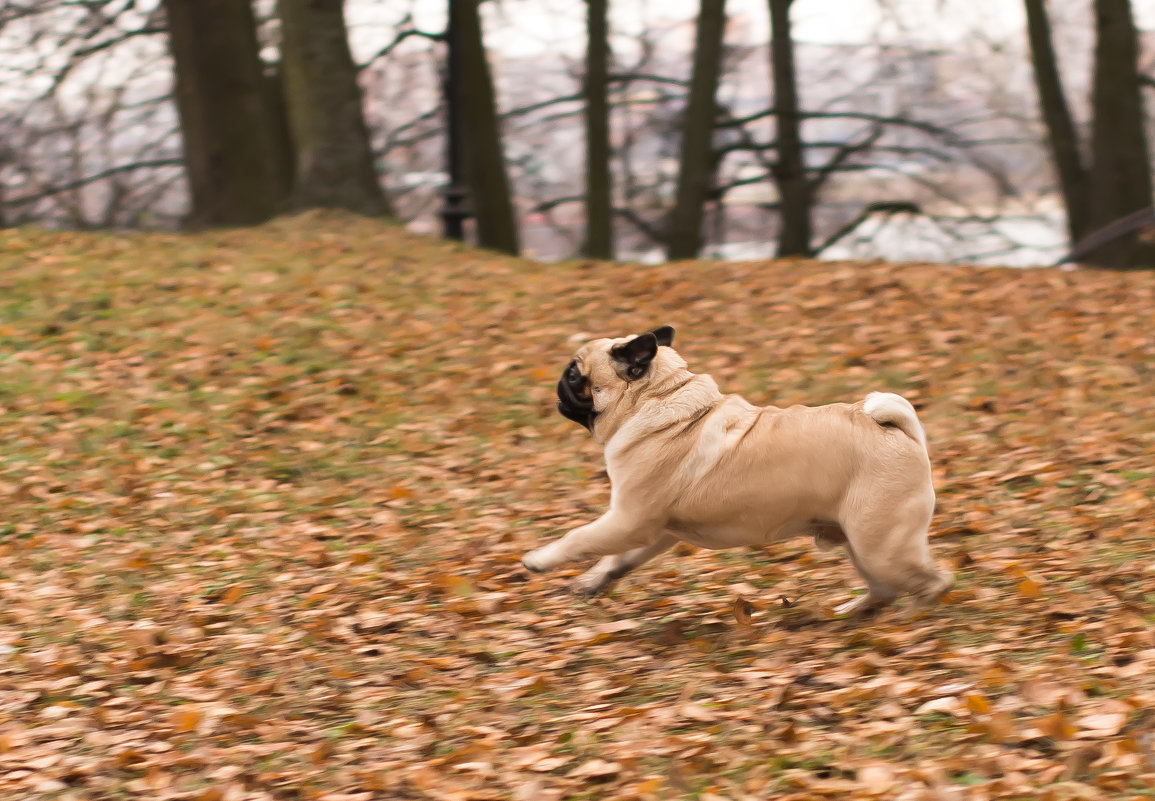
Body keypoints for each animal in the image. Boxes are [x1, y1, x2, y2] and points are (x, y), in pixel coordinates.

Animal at [526, 325, 956, 614]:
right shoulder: (653, 530)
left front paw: (540, 559)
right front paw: (592, 582)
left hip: (881, 545)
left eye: (574, 374)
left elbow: (578, 538)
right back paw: (851, 613)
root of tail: (895, 430)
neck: (657, 399)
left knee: (934, 581)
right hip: (861, 545)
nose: (559, 383)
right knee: (884, 589)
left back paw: (913, 615)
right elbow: (616, 560)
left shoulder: (628, 520)